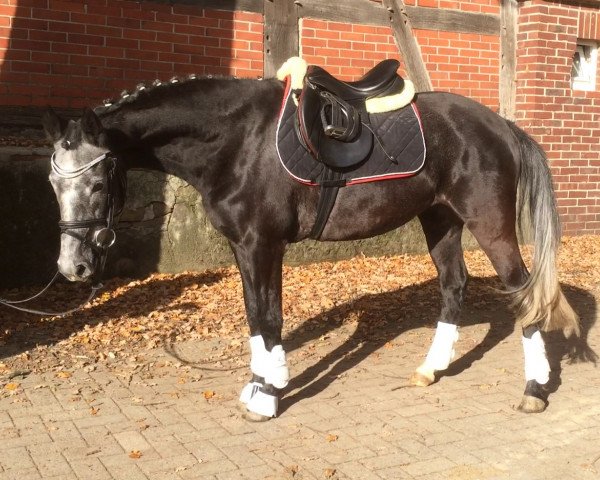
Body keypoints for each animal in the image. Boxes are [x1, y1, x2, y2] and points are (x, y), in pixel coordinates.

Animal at [41, 62, 576, 420]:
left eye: (97, 182)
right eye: (52, 182)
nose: (72, 268)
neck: (236, 139)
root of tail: (500, 124)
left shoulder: (262, 244)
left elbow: (269, 317)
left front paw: (268, 394)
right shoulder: (244, 248)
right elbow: (256, 315)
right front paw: (262, 384)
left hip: (490, 223)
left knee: (523, 290)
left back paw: (534, 388)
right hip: (440, 219)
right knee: (454, 285)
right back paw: (431, 368)